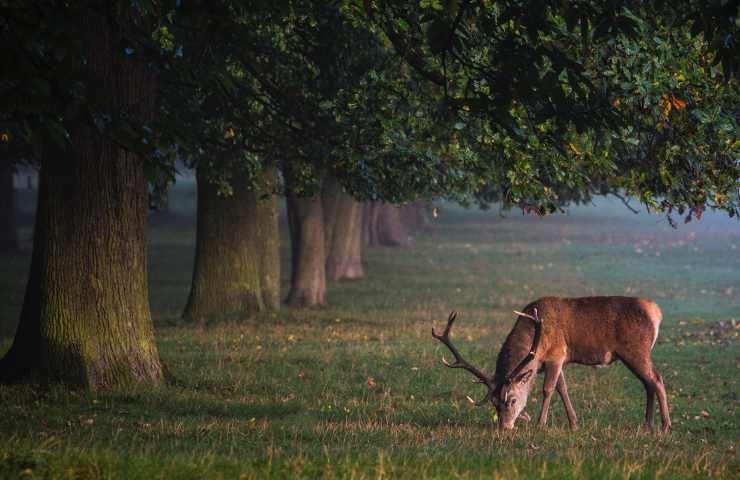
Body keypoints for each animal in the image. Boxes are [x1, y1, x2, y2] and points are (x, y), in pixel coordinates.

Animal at [434, 296, 672, 432]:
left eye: (512, 400)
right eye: (494, 403)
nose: (505, 426)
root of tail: (656, 312)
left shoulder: (557, 355)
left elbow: (548, 389)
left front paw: (541, 423)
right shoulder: (557, 361)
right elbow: (562, 388)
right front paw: (574, 424)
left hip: (636, 350)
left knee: (657, 379)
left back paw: (665, 426)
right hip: (632, 354)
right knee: (648, 383)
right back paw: (648, 424)